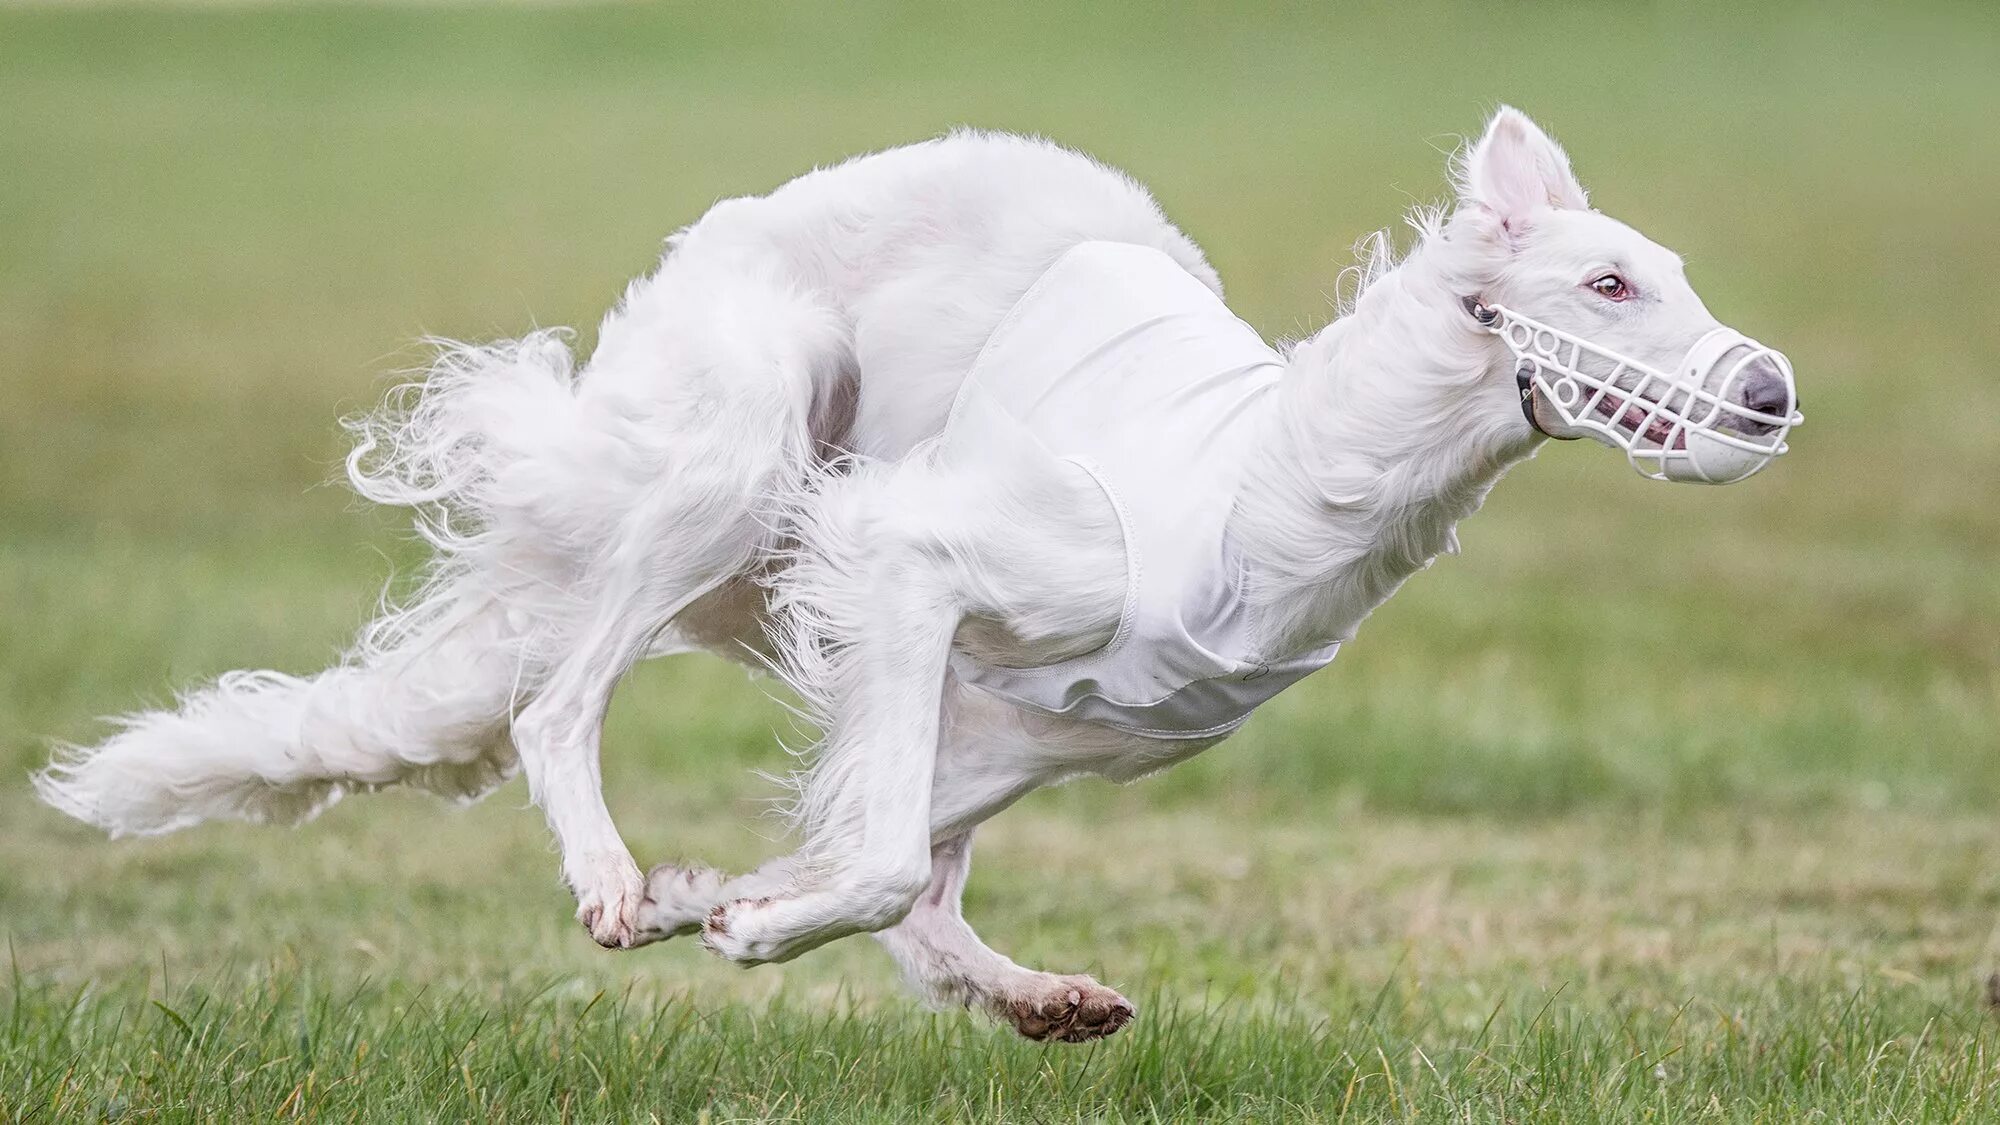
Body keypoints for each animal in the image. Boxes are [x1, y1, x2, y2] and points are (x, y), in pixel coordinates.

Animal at [43, 109, 1800, 1040]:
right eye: (1608, 281)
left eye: (1675, 271)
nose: (1773, 392)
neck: (1263, 484)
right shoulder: (908, 558)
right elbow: (878, 863)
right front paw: (729, 924)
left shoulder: (1045, 718)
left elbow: (889, 868)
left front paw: (732, 902)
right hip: (743, 449)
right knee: (558, 702)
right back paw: (616, 876)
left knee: (923, 880)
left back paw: (1020, 989)